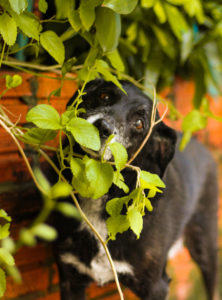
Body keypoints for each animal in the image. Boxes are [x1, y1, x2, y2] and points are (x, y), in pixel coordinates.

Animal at [52, 79, 219, 300]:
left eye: (139, 123)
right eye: (104, 95)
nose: (102, 127)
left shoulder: (156, 287)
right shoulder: (71, 279)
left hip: (206, 246)